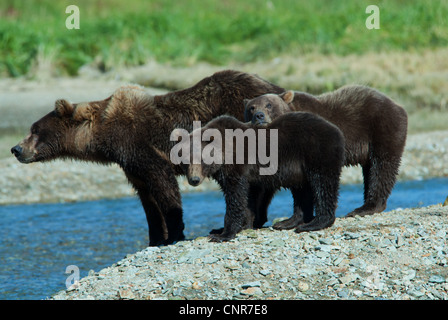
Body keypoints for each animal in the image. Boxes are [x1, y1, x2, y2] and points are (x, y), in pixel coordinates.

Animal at [10, 70, 284, 245]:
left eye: (34, 129)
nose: (15, 149)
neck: (103, 135)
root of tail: (276, 88)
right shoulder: (129, 163)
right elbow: (147, 198)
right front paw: (155, 238)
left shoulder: (139, 144)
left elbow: (162, 183)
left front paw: (174, 232)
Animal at [243, 85, 408, 221]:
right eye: (251, 108)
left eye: (269, 105)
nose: (259, 115)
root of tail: (398, 105)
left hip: (382, 128)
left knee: (381, 167)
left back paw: (366, 207)